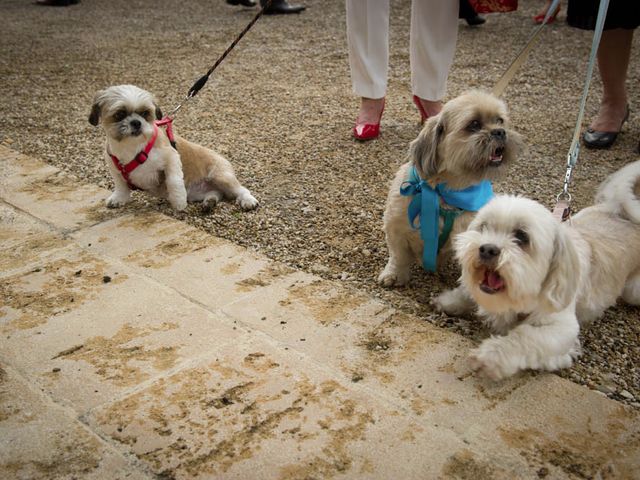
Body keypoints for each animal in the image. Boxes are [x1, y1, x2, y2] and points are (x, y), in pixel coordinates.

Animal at [378, 91, 524, 284]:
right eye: (474, 124)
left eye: (500, 120)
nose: (500, 131)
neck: (445, 192)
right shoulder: (396, 227)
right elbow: (398, 256)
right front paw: (394, 274)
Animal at [438, 161, 640, 378]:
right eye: (484, 227)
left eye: (522, 237)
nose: (487, 249)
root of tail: (623, 214)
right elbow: (467, 293)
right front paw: (450, 300)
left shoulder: (562, 329)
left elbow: (524, 336)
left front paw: (490, 356)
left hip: (633, 291)